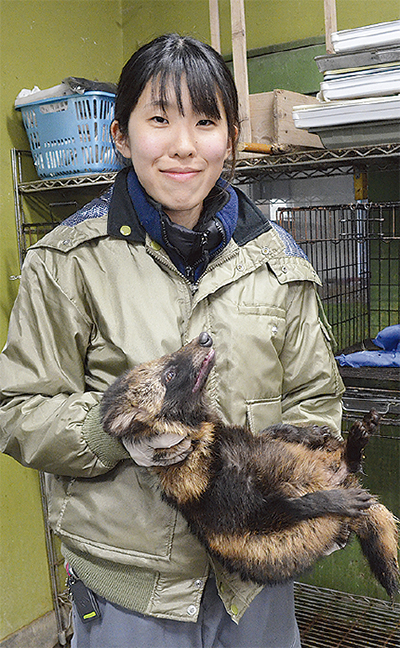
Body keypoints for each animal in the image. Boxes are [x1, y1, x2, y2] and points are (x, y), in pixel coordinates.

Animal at [101, 334, 398, 596]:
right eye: (169, 375)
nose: (204, 337)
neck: (208, 443)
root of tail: (341, 476)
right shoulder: (231, 506)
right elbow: (289, 507)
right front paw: (330, 500)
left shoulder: (244, 438)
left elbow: (272, 430)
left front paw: (306, 432)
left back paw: (356, 440)